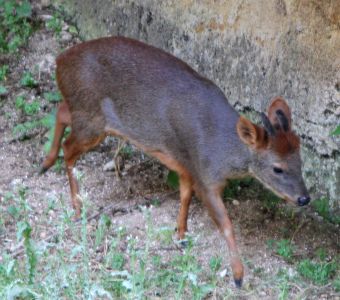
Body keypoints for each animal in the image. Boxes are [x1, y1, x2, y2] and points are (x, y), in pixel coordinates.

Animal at [40, 36, 310, 288]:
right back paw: (76, 206)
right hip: (92, 120)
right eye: (277, 168)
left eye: (300, 162)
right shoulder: (205, 175)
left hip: (88, 116)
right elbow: (225, 224)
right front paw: (238, 276)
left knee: (61, 111)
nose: (304, 198)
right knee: (68, 148)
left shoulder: (186, 165)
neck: (222, 149)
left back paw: (46, 163)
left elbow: (184, 196)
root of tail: (59, 61)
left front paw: (181, 234)